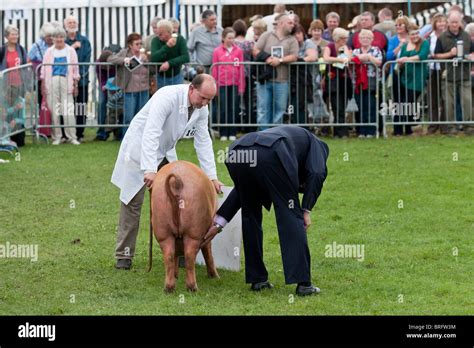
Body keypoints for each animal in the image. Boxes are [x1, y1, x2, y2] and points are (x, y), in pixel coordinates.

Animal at [150, 162, 220, 292]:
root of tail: (176, 180)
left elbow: (176, 255)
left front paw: (176, 275)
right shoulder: (206, 235)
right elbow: (208, 254)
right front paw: (215, 277)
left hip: (162, 228)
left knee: (169, 255)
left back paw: (169, 288)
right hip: (194, 230)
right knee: (189, 255)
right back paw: (193, 288)